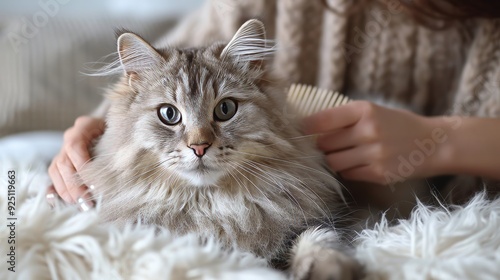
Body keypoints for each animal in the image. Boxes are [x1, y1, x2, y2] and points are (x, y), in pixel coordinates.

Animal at [81, 18, 364, 278]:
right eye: (169, 114)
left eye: (225, 109)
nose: (199, 146)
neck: (212, 208)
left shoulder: (321, 220)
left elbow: (319, 240)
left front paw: (327, 269)